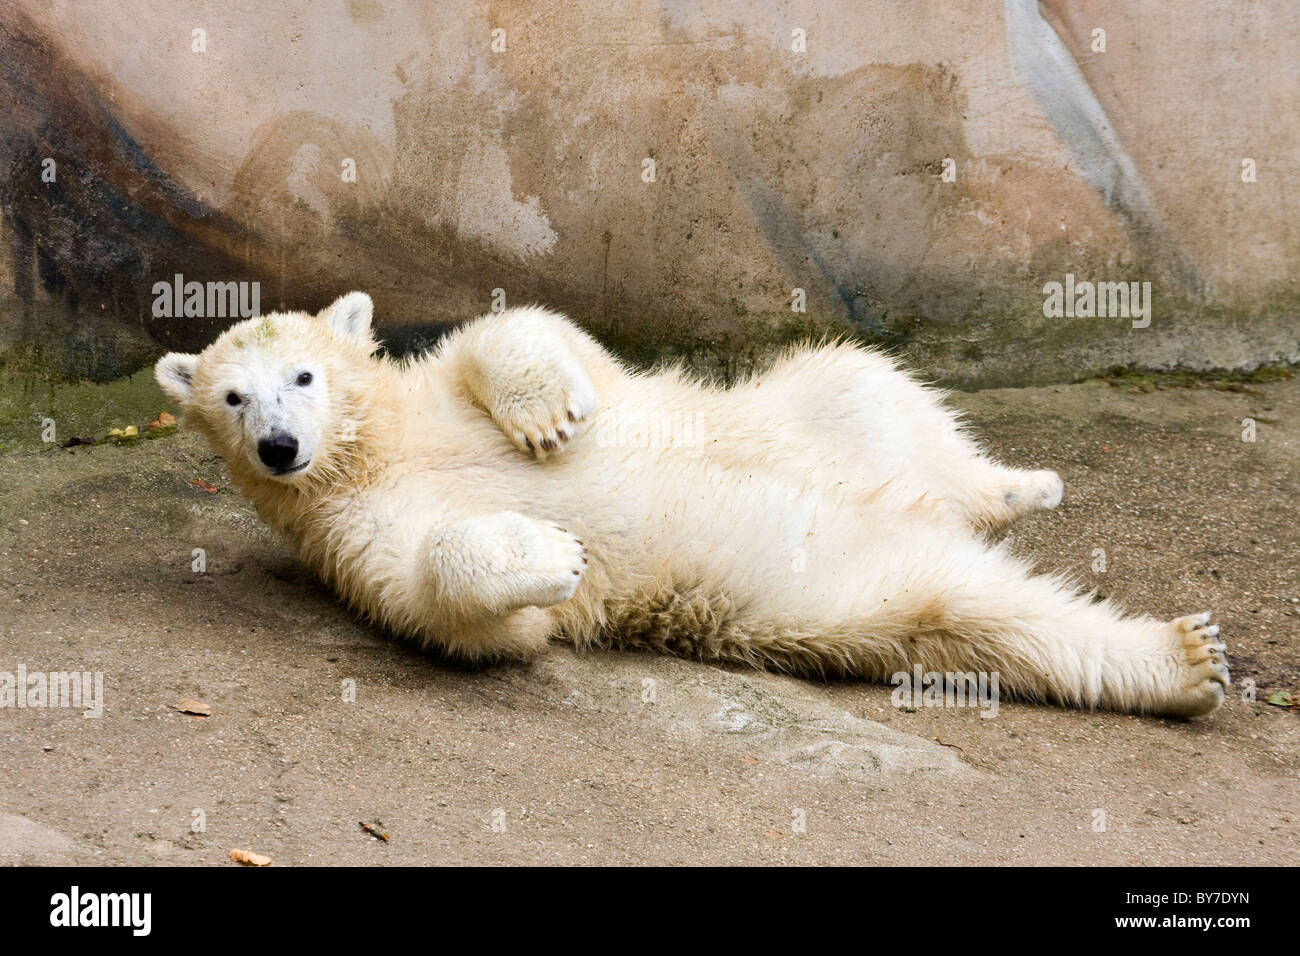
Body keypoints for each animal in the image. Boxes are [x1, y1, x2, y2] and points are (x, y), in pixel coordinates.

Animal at [154, 291, 1227, 717]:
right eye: (232, 397)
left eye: (303, 374)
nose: (281, 447)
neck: (374, 449)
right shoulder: (348, 530)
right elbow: (446, 605)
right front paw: (553, 555)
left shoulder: (440, 396)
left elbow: (537, 336)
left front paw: (546, 422)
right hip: (839, 579)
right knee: (974, 616)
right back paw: (1184, 660)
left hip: (805, 419)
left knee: (866, 386)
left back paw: (1018, 486)